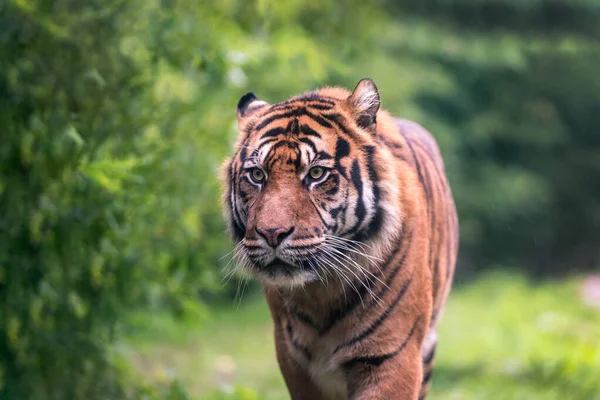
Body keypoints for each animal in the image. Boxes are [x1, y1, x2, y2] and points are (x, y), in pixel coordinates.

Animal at [220, 78, 460, 400]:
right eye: (257, 175)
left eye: (316, 174)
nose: (272, 233)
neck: (320, 293)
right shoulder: (295, 364)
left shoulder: (391, 356)